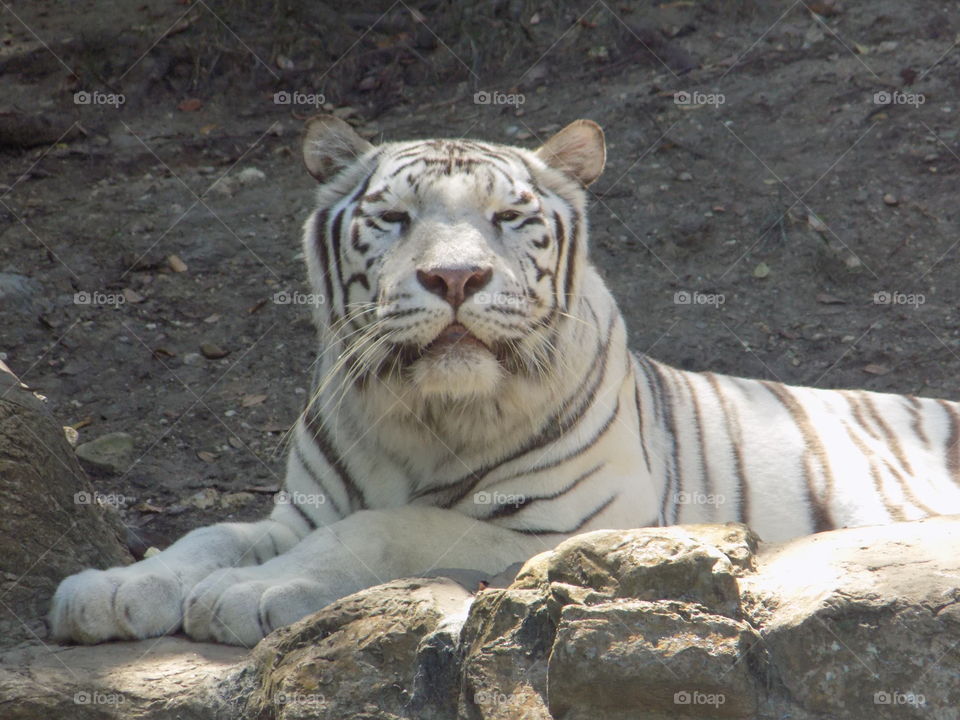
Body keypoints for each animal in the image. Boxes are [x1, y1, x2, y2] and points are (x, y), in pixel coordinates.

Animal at [50, 116, 960, 647]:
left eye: (508, 218)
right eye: (394, 219)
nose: (455, 278)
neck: (423, 415)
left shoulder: (573, 530)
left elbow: (390, 527)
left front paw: (250, 593)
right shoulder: (300, 511)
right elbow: (209, 536)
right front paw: (113, 590)